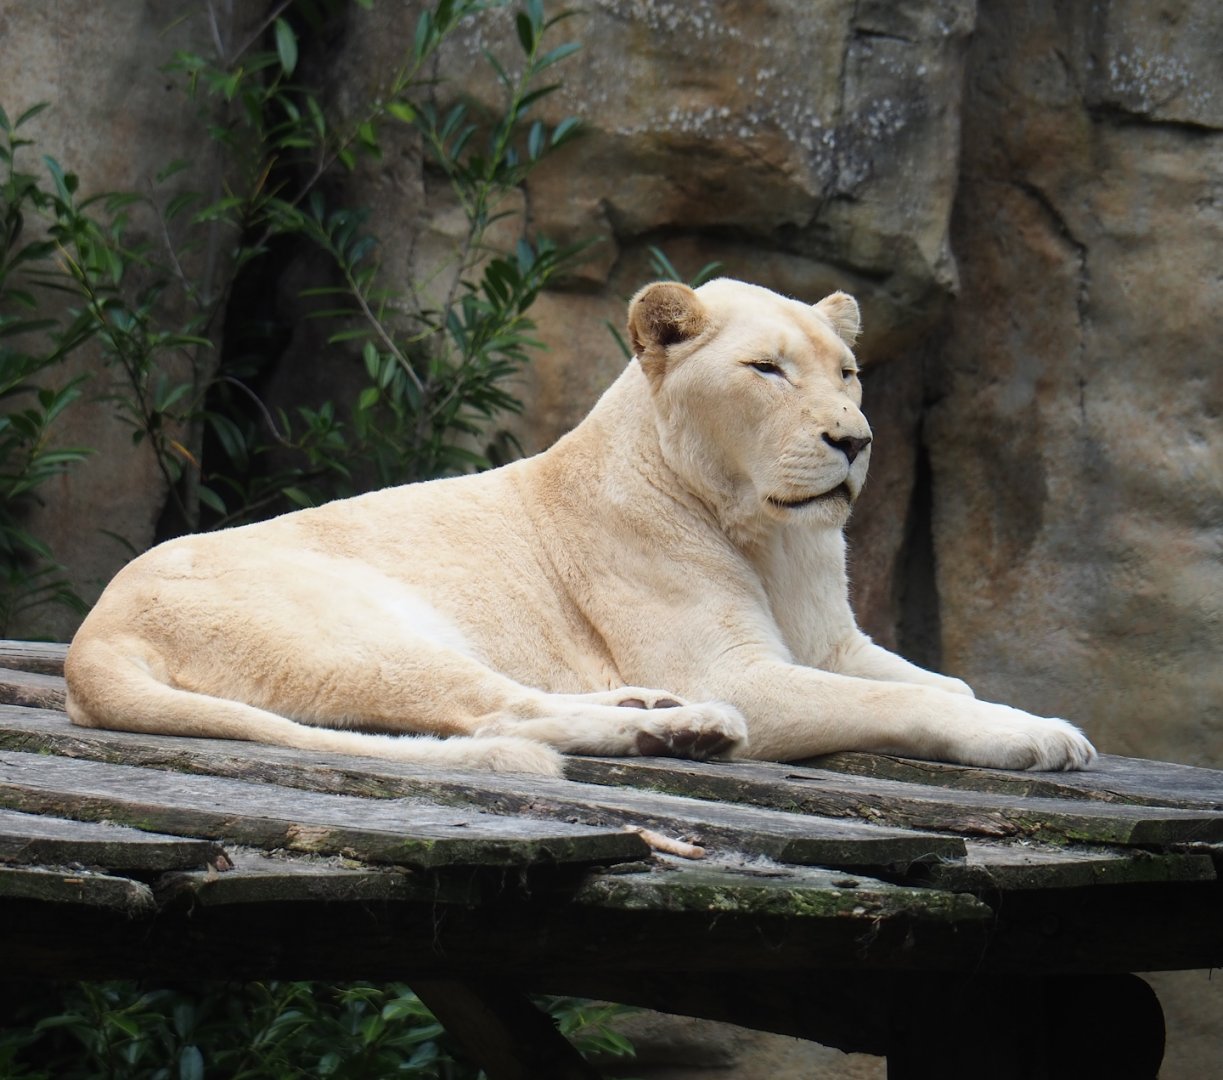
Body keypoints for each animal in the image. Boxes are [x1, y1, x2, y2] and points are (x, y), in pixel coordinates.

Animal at [64, 278, 1097, 776]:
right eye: (766, 370)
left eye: (845, 372)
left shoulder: (835, 644)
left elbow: (944, 682)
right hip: (365, 625)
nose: (854, 440)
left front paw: (1016, 714)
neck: (771, 538)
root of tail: (89, 642)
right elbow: (912, 703)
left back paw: (657, 716)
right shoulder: (739, 670)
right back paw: (686, 729)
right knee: (495, 713)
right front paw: (1038, 736)